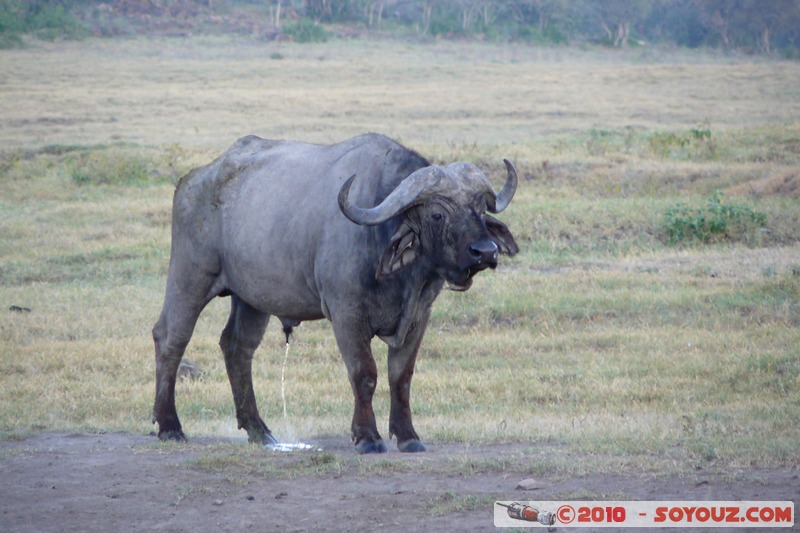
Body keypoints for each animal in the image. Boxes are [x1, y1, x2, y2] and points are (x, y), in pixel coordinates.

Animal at [152, 133, 520, 454]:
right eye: (437, 213)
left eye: (479, 209)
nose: (485, 251)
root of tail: (194, 179)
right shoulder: (347, 315)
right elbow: (365, 374)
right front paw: (367, 437)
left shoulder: (418, 317)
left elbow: (401, 377)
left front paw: (408, 436)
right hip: (190, 275)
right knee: (171, 337)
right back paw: (169, 426)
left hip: (252, 298)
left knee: (237, 347)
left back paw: (259, 430)